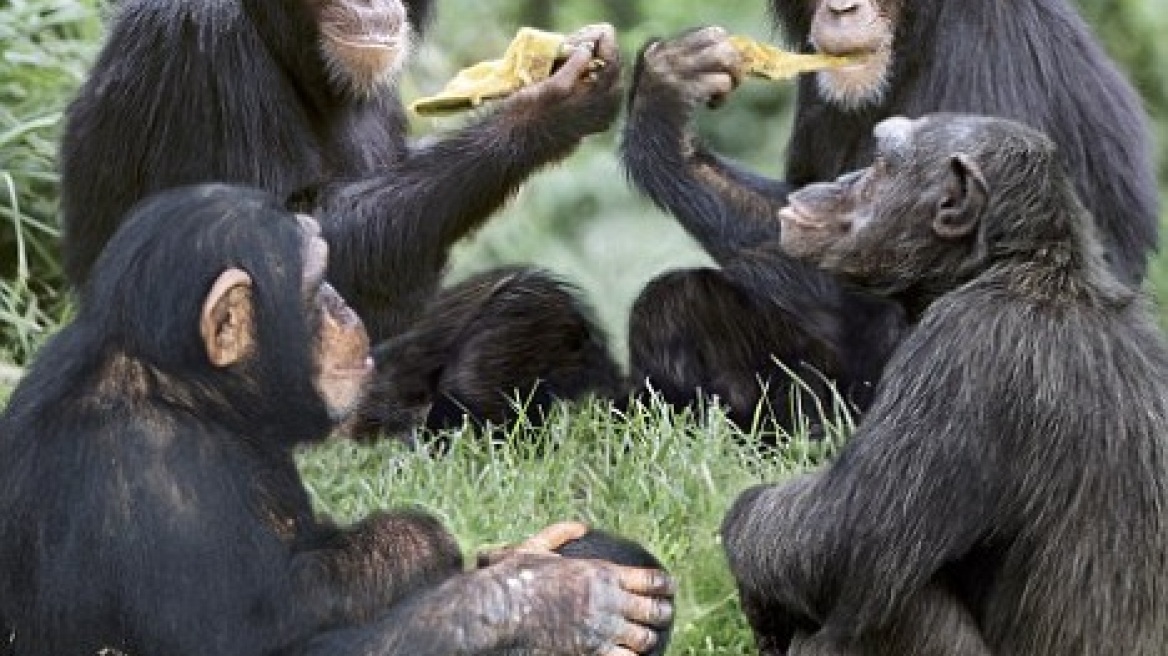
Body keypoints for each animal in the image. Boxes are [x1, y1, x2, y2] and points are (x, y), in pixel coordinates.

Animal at [719, 113, 1168, 653]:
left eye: (880, 165)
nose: (842, 180)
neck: (1021, 267)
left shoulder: (962, 353)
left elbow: (843, 536)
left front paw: (747, 533)